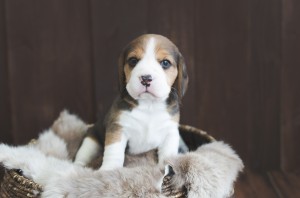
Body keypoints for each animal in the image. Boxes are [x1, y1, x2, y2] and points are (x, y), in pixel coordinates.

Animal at [74, 34, 188, 170]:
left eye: (165, 63)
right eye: (133, 60)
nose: (146, 78)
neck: (149, 105)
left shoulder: (170, 132)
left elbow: (167, 154)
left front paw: (167, 167)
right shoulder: (118, 128)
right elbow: (114, 151)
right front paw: (109, 169)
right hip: (90, 141)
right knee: (81, 156)